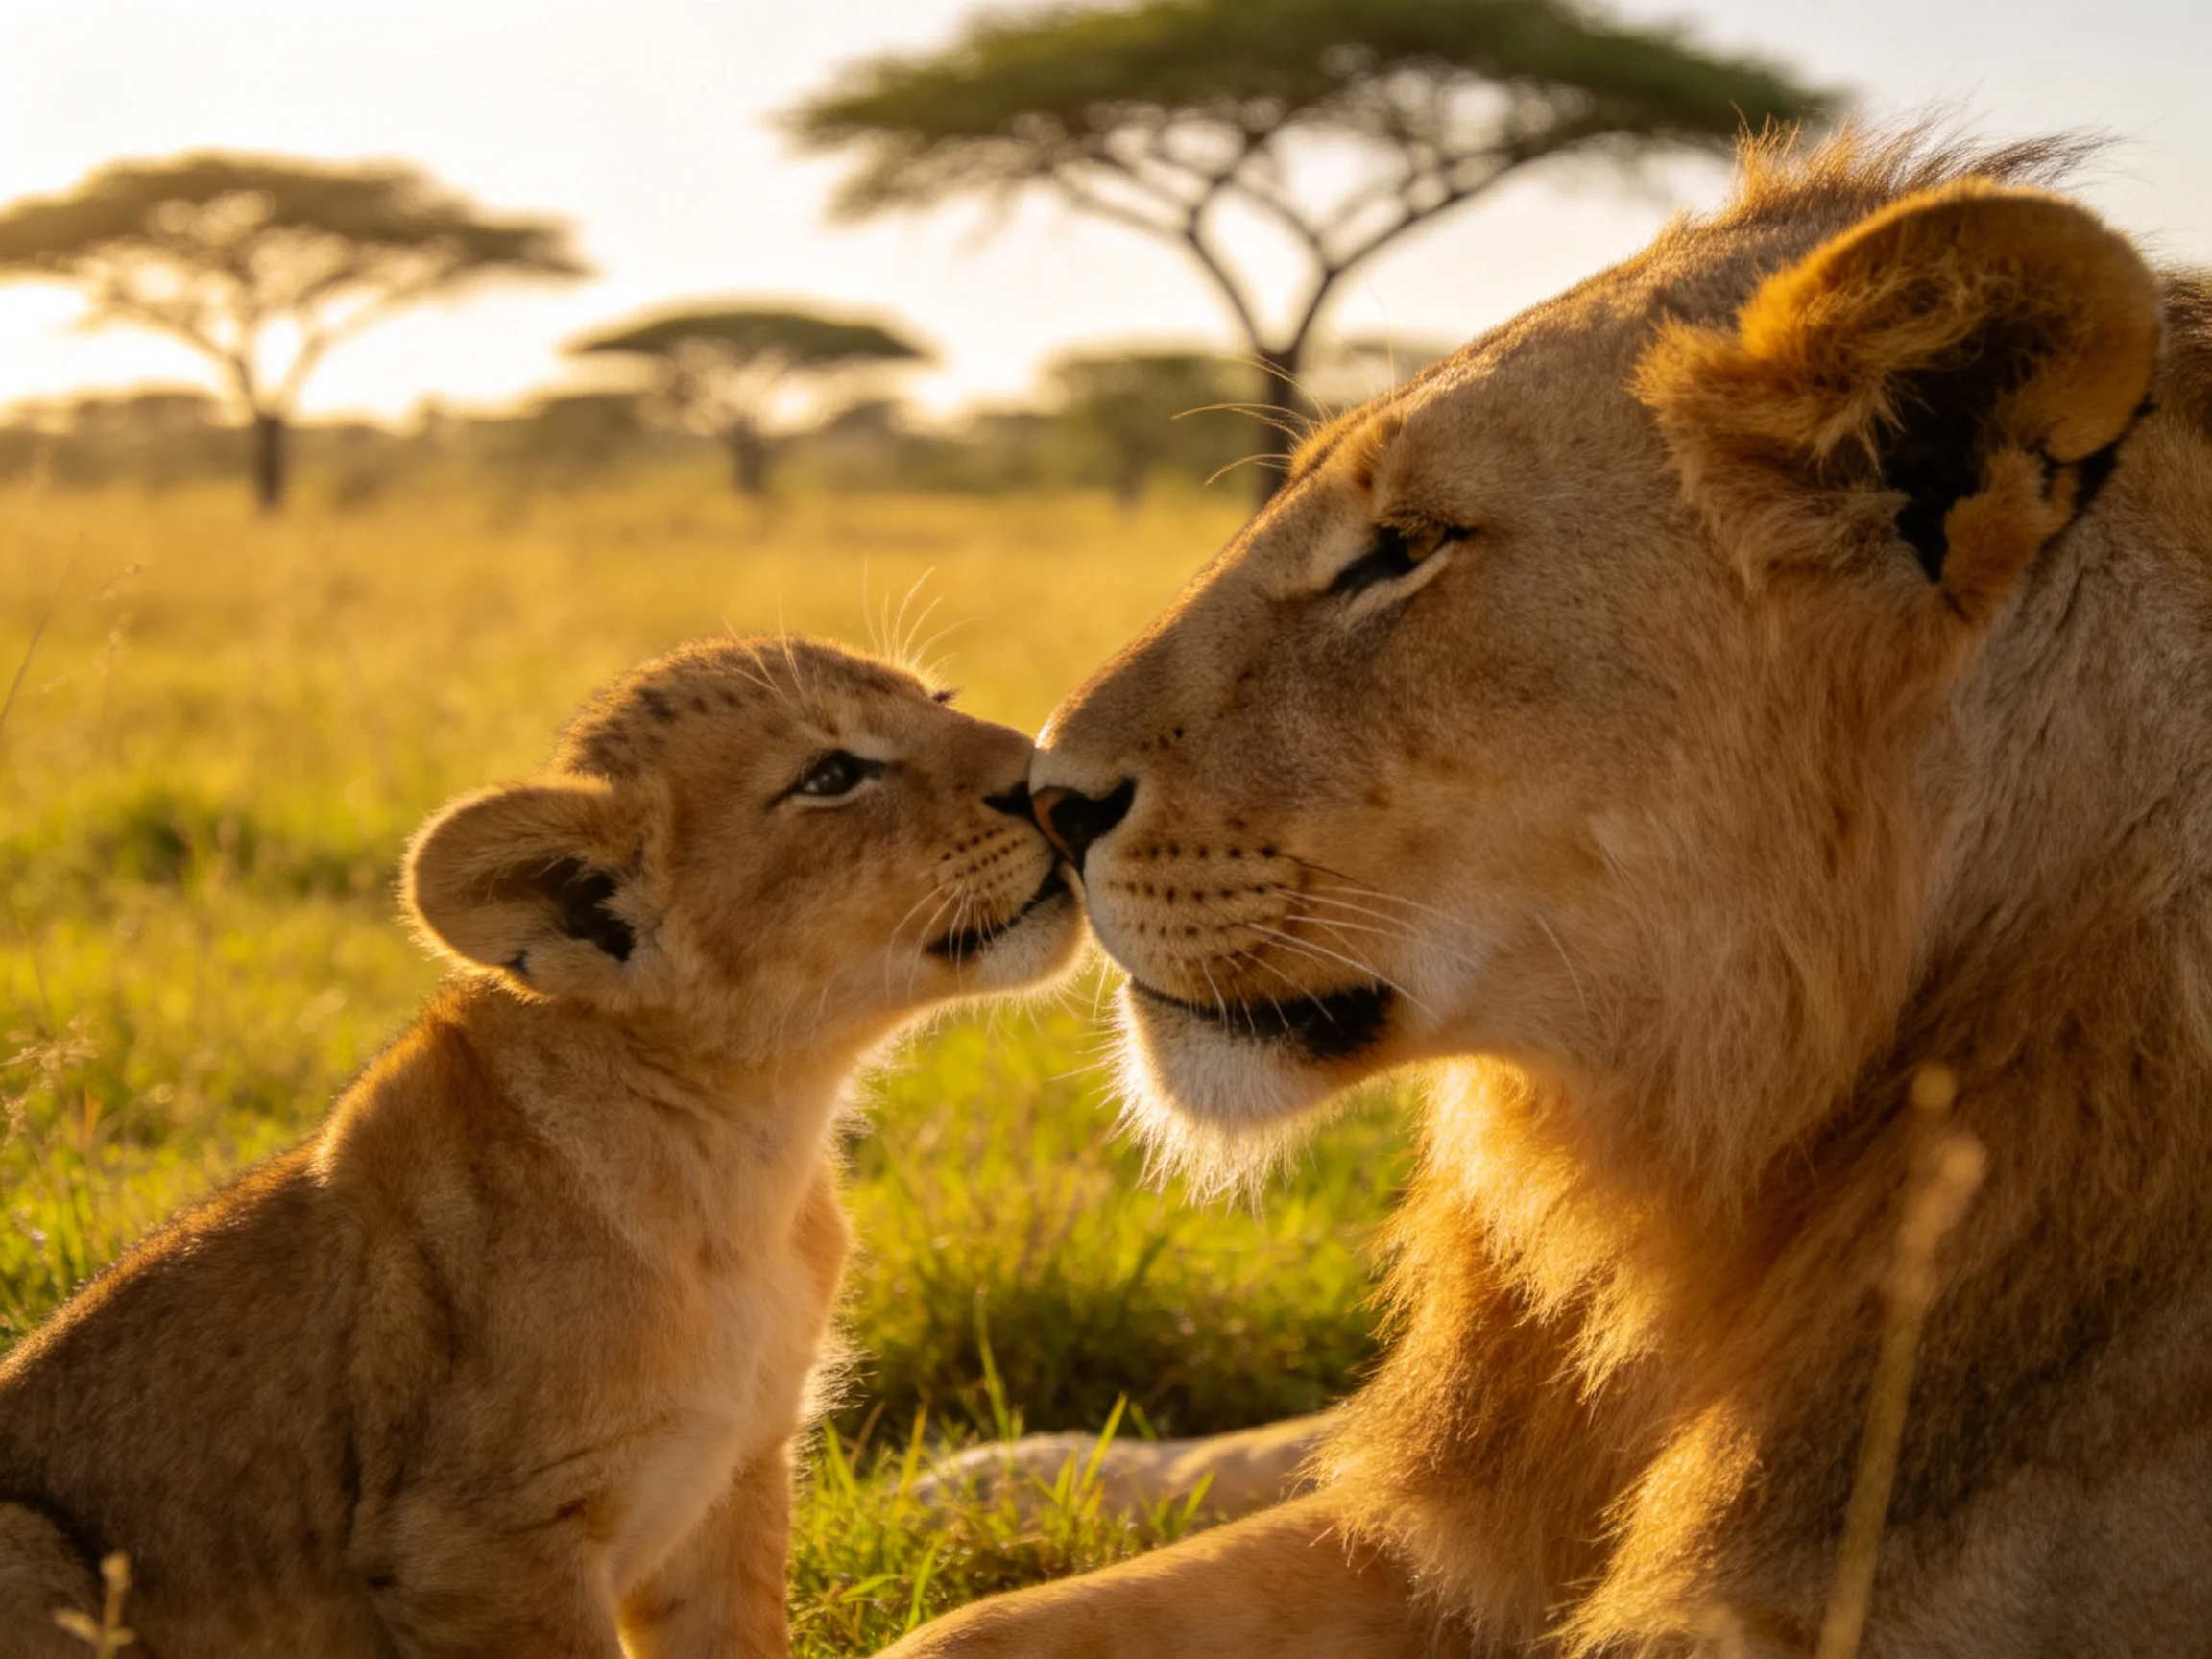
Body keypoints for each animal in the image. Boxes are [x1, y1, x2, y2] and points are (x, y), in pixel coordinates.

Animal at [0, 636, 1080, 1658]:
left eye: (937, 700)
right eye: (832, 775)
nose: (1048, 779)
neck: (745, 1150)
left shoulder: (732, 1483)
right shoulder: (474, 1545)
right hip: (34, 1547)